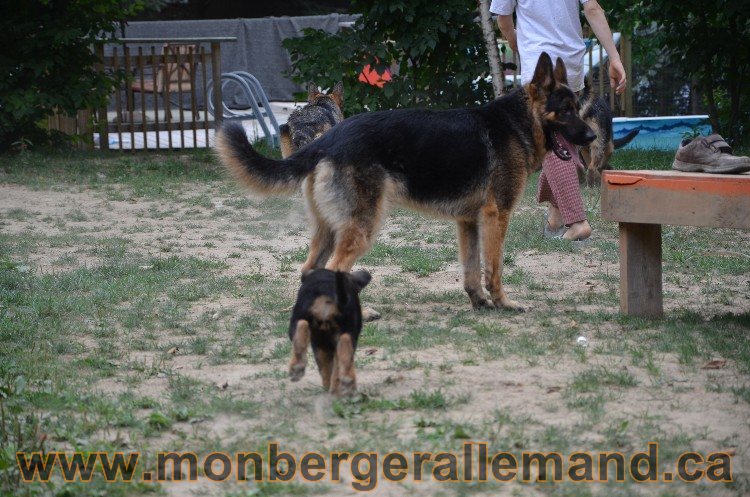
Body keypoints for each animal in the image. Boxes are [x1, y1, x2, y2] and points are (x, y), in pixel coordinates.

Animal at [219, 53, 600, 310]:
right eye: (566, 110)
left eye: (576, 107)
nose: (593, 136)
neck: (516, 122)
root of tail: (328, 140)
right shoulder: (497, 216)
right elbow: (494, 267)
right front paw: (504, 303)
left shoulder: (468, 223)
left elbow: (471, 269)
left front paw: (480, 303)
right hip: (362, 227)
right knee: (333, 269)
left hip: (329, 230)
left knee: (311, 269)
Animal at [288, 268, 370, 396]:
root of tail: (328, 294)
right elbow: (330, 368)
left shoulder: (319, 345)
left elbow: (326, 369)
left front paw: (328, 387)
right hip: (347, 331)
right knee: (345, 344)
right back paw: (346, 384)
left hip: (298, 319)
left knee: (301, 325)